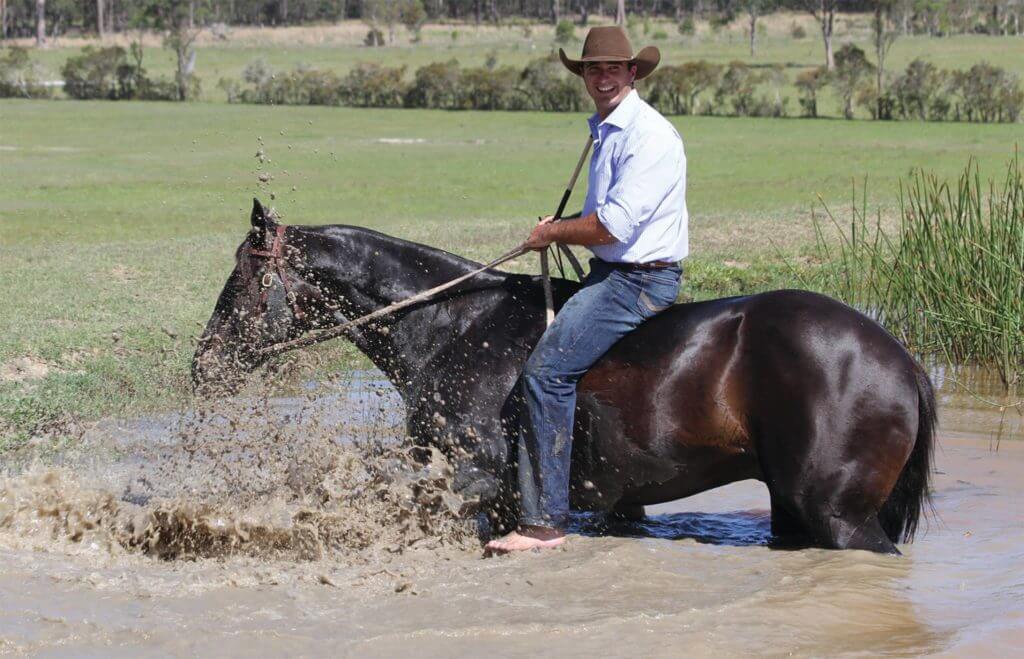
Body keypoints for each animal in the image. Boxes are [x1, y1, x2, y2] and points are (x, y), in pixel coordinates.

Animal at [193, 199, 936, 554]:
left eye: (246, 278)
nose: (204, 364)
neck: (453, 326)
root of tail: (901, 360)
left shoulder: (473, 474)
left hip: (837, 514)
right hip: (793, 506)